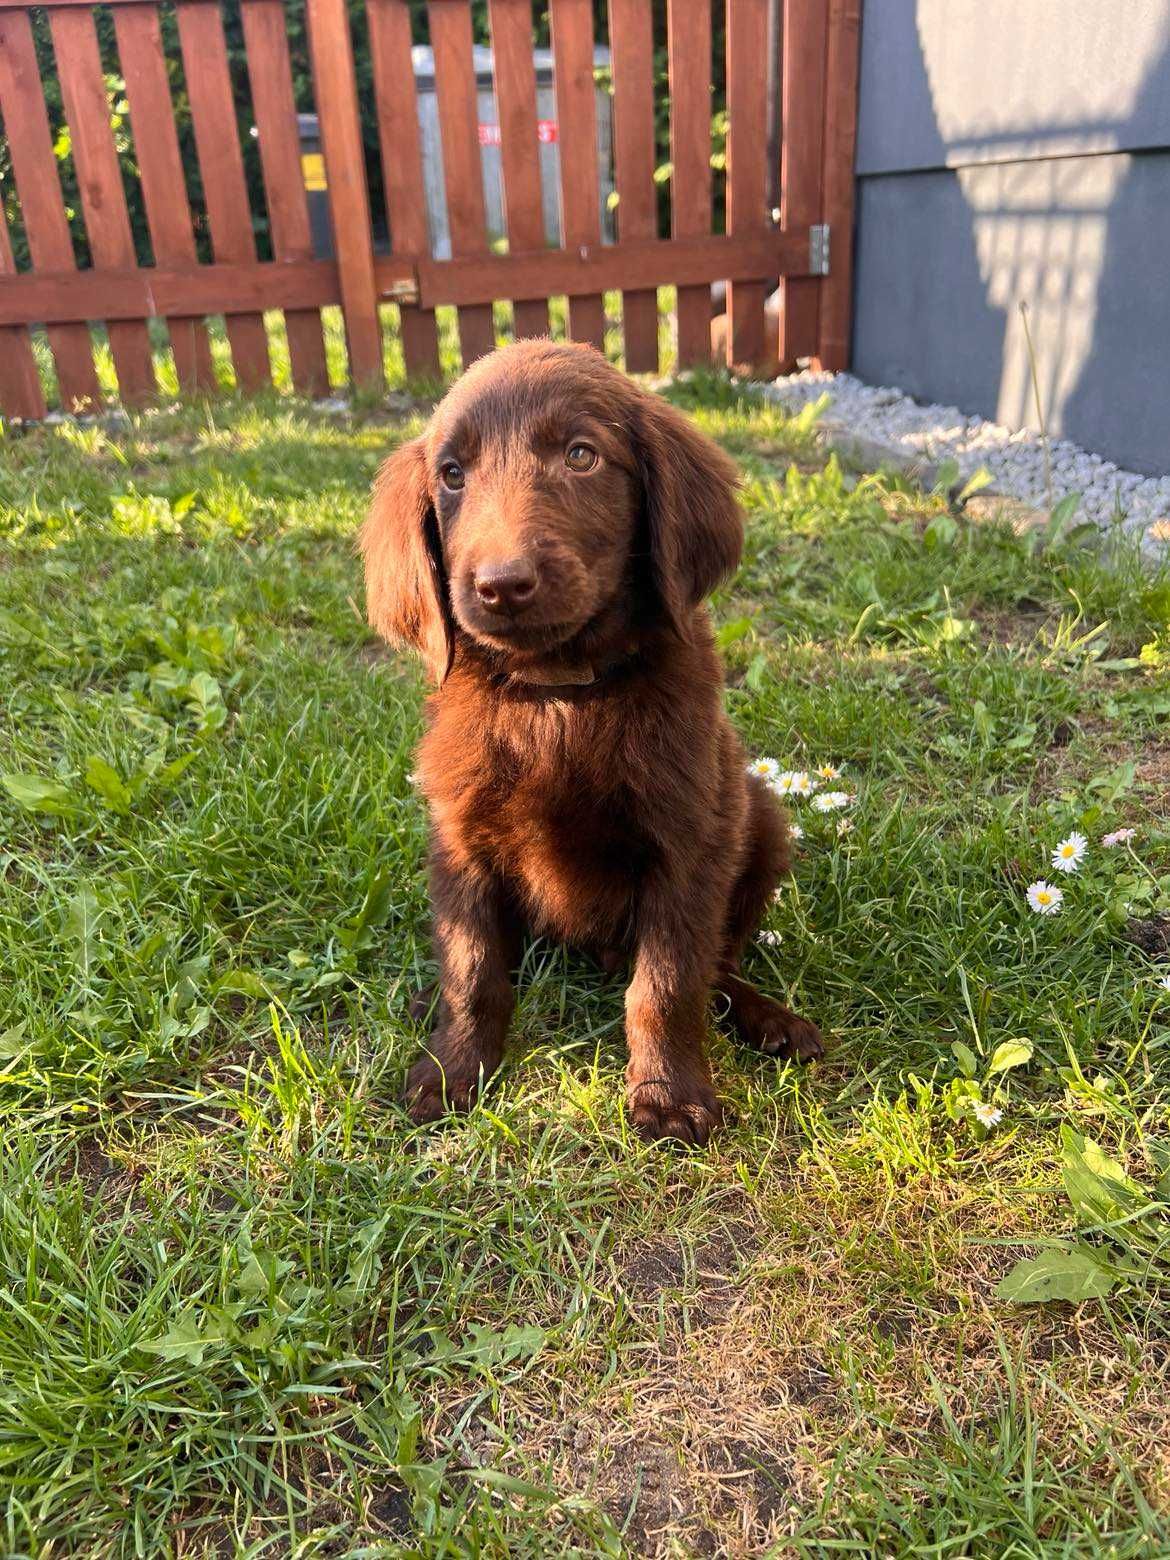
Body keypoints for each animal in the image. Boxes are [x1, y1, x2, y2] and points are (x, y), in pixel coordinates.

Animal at [360, 338, 823, 1148]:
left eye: (581, 456)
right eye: (451, 475)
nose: (501, 584)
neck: (559, 694)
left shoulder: (689, 840)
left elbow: (667, 981)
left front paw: (669, 1095)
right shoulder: (458, 837)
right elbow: (474, 967)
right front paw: (454, 1067)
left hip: (760, 816)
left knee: (717, 964)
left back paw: (765, 1016)